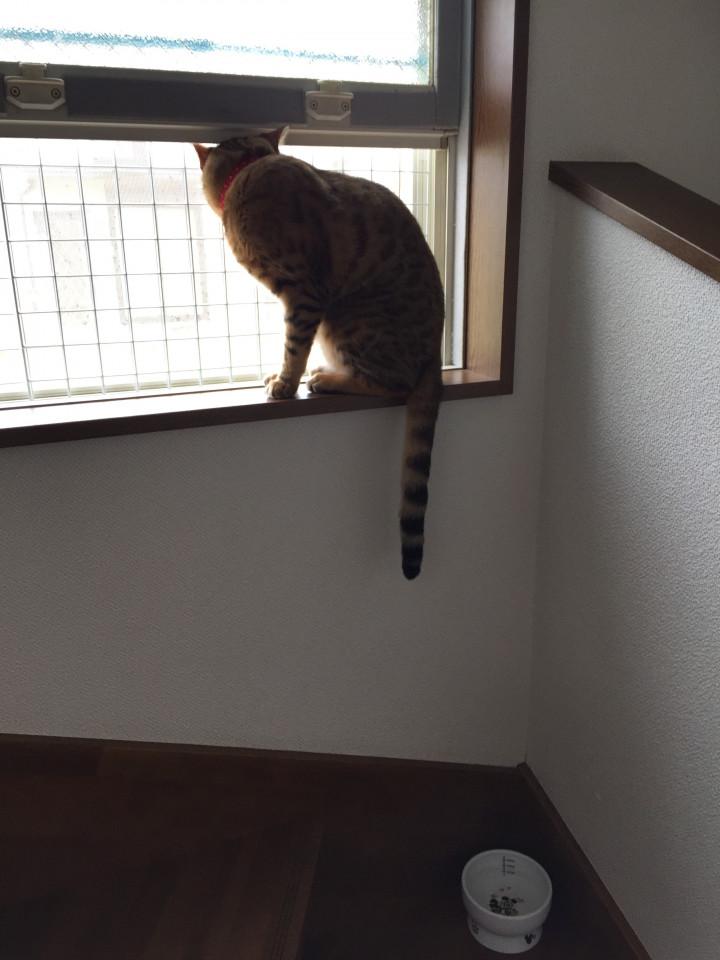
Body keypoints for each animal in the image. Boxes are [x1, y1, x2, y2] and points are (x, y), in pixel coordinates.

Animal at [194, 129, 444, 579]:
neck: (252, 165)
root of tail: (436, 352)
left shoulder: (303, 292)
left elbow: (294, 346)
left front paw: (284, 383)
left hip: (347, 320)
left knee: (392, 384)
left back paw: (326, 378)